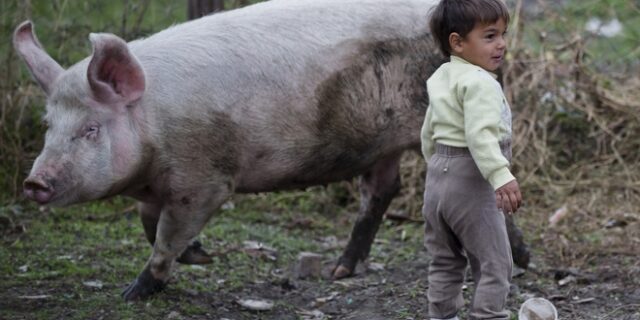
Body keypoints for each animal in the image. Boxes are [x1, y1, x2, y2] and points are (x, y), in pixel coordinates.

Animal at [15, 0, 528, 302]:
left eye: (90, 129)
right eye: (49, 125)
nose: (34, 181)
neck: (154, 127)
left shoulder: (205, 179)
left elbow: (165, 237)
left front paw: (134, 293)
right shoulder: (159, 185)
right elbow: (147, 224)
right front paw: (200, 257)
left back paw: (522, 262)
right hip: (379, 143)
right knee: (382, 189)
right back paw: (340, 272)